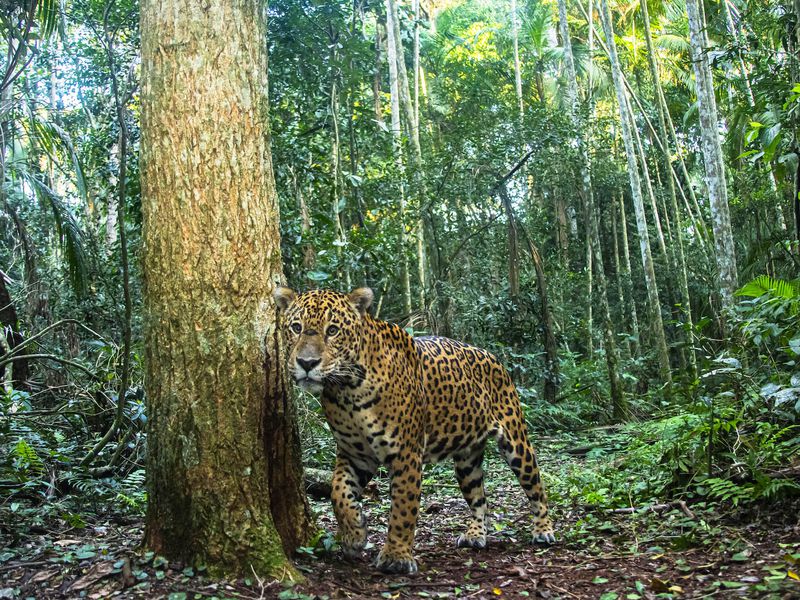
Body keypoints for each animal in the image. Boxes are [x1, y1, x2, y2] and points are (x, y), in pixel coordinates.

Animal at [273, 286, 556, 575]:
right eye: (296, 327)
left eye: (332, 330)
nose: (307, 363)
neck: (347, 390)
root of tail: (492, 356)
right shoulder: (354, 454)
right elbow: (338, 491)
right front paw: (355, 535)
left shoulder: (405, 453)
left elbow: (403, 507)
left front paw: (396, 556)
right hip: (467, 461)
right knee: (479, 498)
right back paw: (476, 534)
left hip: (516, 442)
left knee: (536, 486)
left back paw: (543, 530)